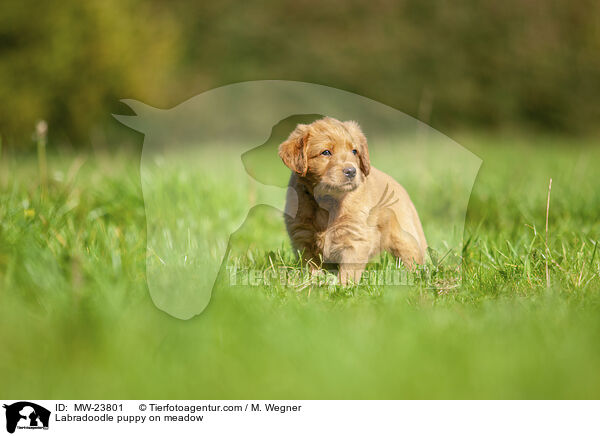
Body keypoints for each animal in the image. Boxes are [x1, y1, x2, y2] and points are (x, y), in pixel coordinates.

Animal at [278, 116, 426, 286]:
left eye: (354, 151)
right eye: (326, 152)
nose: (351, 171)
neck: (328, 203)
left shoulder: (355, 240)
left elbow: (348, 273)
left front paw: (343, 288)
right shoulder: (303, 239)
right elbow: (311, 269)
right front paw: (313, 284)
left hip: (405, 238)